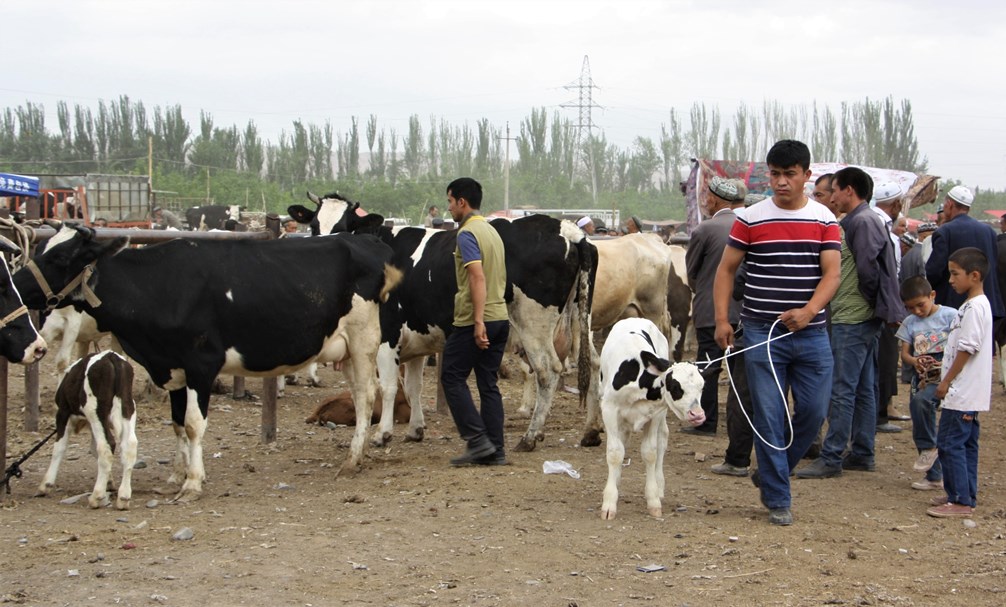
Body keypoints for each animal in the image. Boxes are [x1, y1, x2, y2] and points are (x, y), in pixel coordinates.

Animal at [36, 348, 137, 511]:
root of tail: (110, 356)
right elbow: (93, 449)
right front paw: (109, 482)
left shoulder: (63, 413)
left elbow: (59, 447)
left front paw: (46, 485)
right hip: (128, 409)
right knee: (129, 446)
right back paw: (123, 497)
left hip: (95, 411)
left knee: (106, 446)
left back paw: (97, 496)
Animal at [287, 191, 591, 450]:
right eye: (314, 226)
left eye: (347, 225)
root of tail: (565, 228)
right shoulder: (415, 336)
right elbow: (413, 387)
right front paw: (415, 429)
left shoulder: (388, 334)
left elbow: (387, 386)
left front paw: (382, 433)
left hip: (533, 324)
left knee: (547, 371)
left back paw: (530, 436)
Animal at [595, 318, 708, 523]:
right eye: (675, 386)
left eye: (702, 387)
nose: (698, 415)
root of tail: (636, 318)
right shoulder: (609, 409)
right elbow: (615, 453)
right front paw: (609, 501)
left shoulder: (655, 414)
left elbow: (650, 453)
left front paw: (653, 500)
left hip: (662, 416)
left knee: (662, 440)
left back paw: (659, 486)